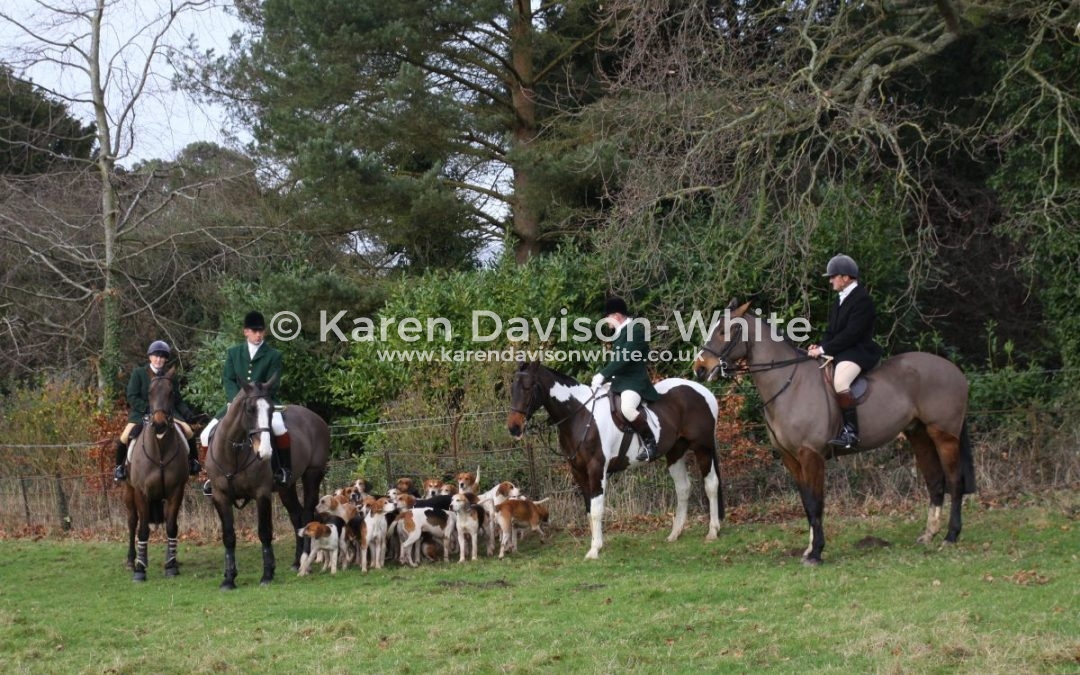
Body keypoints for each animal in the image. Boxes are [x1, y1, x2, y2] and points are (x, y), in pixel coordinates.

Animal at [204, 375, 326, 587]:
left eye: (270, 410)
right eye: (250, 409)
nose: (265, 452)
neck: (233, 453)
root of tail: (315, 417)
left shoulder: (262, 494)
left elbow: (264, 532)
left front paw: (267, 574)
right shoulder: (220, 496)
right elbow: (228, 536)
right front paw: (229, 578)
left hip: (312, 475)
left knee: (306, 515)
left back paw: (305, 560)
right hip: (287, 488)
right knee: (297, 516)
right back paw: (296, 561)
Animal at [505, 360, 725, 561]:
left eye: (527, 388)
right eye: (512, 389)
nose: (513, 428)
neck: (581, 415)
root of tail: (704, 392)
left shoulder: (596, 469)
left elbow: (596, 510)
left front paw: (594, 550)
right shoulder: (578, 471)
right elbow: (588, 510)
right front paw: (597, 544)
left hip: (703, 448)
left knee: (711, 485)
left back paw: (712, 531)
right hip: (675, 453)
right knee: (683, 488)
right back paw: (675, 534)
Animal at [691, 300, 980, 561]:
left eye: (723, 331)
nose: (700, 368)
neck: (789, 384)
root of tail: (954, 370)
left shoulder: (811, 455)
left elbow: (816, 502)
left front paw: (817, 552)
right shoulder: (791, 458)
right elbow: (807, 503)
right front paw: (809, 549)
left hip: (944, 436)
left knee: (954, 481)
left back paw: (951, 536)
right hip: (919, 434)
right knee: (935, 481)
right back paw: (929, 534)